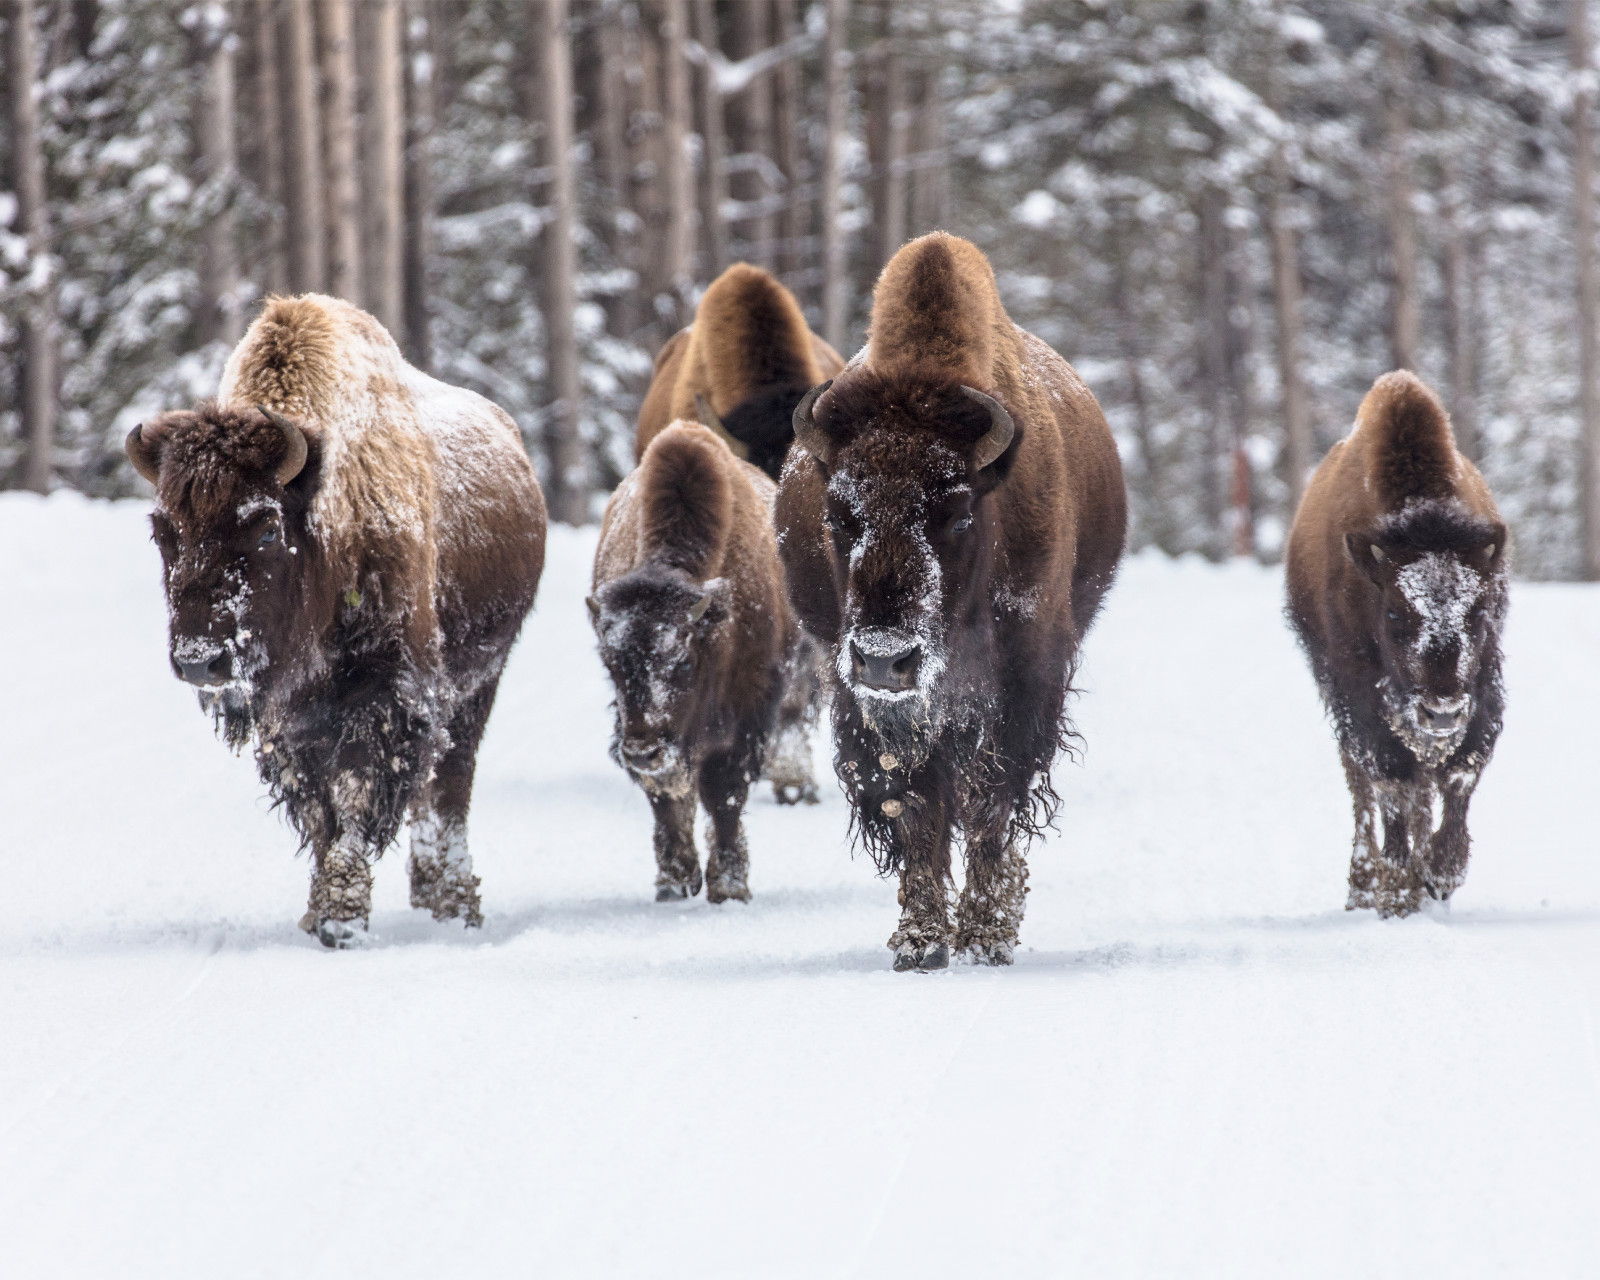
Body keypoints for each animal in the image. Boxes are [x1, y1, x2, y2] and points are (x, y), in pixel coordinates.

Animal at [126, 294, 546, 946]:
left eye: (266, 527)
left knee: (451, 783)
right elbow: (319, 810)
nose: (201, 662)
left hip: (479, 681)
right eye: (162, 531)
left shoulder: (389, 696)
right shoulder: (288, 720)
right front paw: (320, 910)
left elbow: (354, 796)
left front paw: (343, 920)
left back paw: (457, 904)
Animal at [775, 232, 1127, 971]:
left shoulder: (1024, 682)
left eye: (957, 511)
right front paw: (921, 942)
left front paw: (986, 935)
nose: (886, 658)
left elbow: (993, 804)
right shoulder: (868, 702)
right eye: (839, 513)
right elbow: (912, 811)